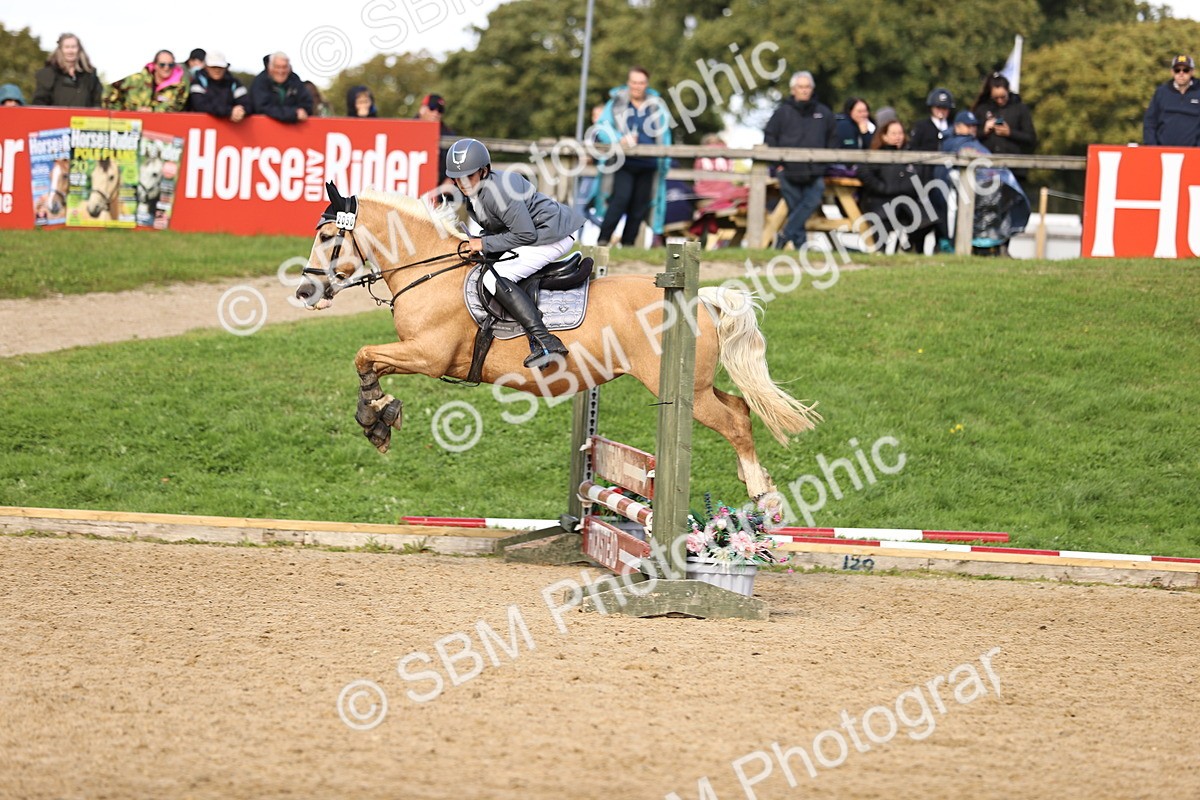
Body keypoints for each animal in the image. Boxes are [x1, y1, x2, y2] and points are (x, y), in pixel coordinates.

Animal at [295, 183, 820, 501]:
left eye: (330, 237)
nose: (304, 292)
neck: (428, 270)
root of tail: (700, 299)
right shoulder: (415, 354)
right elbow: (368, 362)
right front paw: (378, 414)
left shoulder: (428, 355)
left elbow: (364, 356)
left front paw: (376, 418)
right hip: (698, 388)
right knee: (741, 409)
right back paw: (754, 479)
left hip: (681, 391)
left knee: (734, 423)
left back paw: (762, 494)